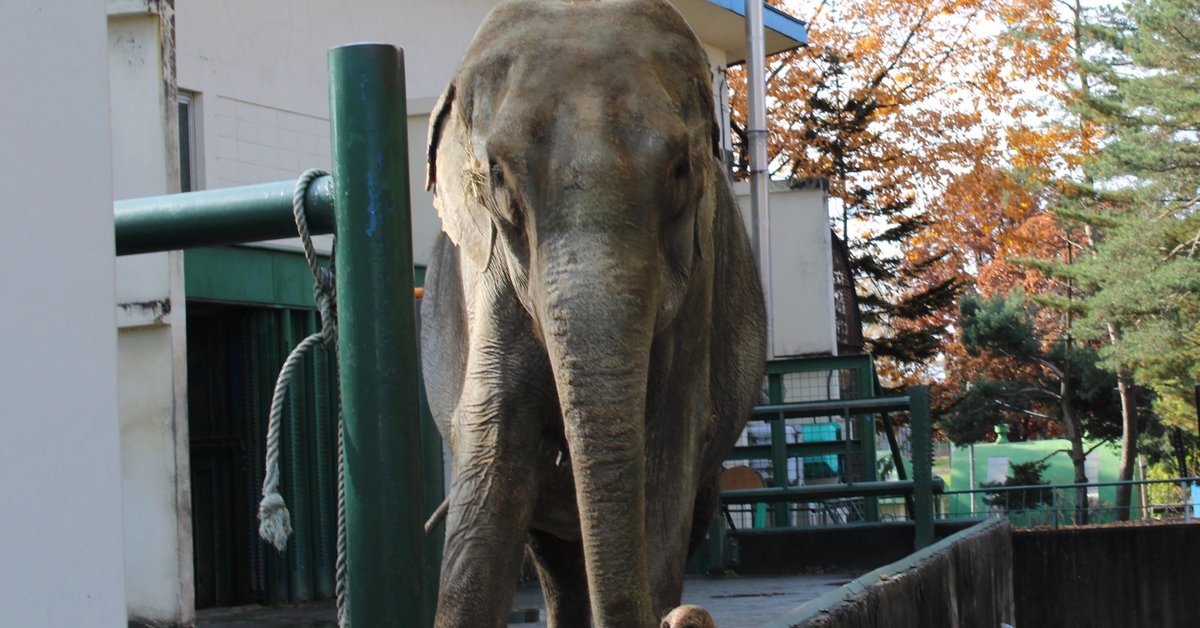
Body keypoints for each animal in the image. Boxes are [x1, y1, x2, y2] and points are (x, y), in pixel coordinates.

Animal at [420, 1, 767, 626]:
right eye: (498, 178)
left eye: (681, 171)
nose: (683, 617)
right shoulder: (488, 277)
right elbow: (493, 430)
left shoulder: (696, 282)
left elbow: (670, 438)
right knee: (553, 558)